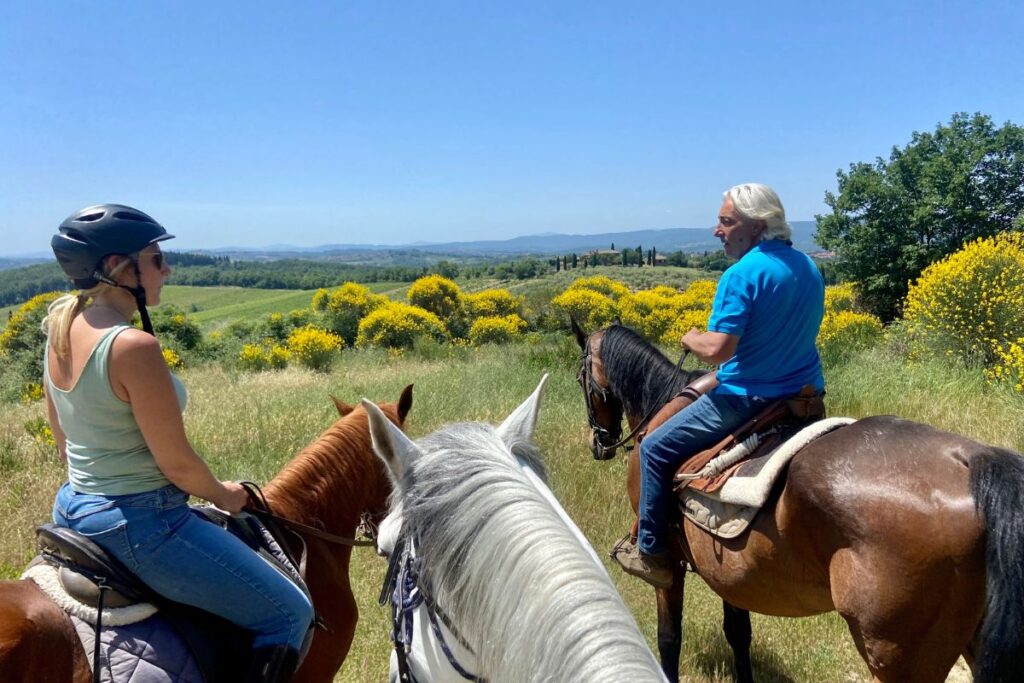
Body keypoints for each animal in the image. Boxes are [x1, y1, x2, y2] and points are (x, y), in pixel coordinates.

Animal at [573, 325, 1024, 683]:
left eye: (580, 378)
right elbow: (738, 633)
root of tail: (969, 461)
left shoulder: (670, 567)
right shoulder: (729, 567)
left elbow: (669, 638)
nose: (599, 443)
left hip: (898, 657)